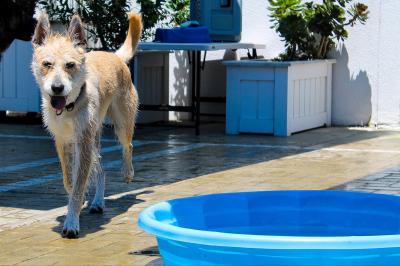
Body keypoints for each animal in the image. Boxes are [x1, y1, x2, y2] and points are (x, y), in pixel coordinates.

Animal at [32, 11, 143, 238]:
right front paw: (78, 200)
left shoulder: (82, 142)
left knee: (128, 146)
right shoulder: (63, 142)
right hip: (94, 139)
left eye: (70, 65)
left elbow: (78, 185)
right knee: (101, 170)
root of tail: (115, 56)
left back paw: (127, 173)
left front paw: (71, 223)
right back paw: (98, 201)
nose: (57, 88)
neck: (69, 107)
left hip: (121, 123)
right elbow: (69, 180)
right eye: (47, 64)